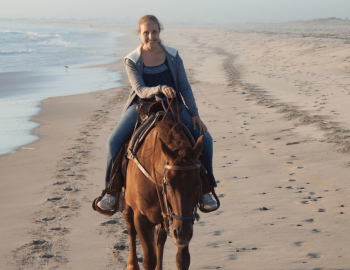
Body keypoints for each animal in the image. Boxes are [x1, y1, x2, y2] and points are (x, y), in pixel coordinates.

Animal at [123, 117, 204, 270]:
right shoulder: (141, 219)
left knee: (159, 238)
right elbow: (149, 260)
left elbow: (182, 260)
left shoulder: (182, 222)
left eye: (198, 183)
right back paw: (131, 264)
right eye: (168, 184)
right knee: (130, 227)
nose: (182, 233)